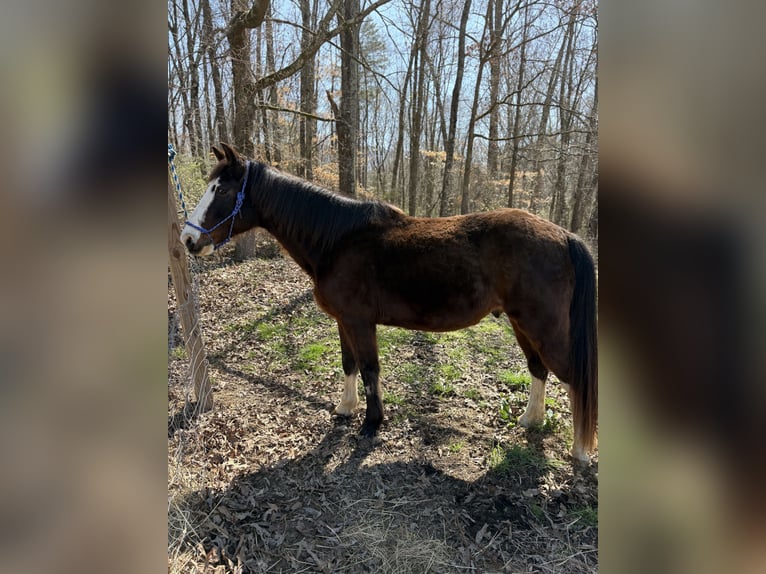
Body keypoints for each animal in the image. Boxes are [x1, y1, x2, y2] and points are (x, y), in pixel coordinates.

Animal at [180, 144, 600, 464]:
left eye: (222, 191)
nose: (188, 240)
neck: (337, 240)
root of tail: (564, 236)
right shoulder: (343, 321)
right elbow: (349, 365)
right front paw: (345, 409)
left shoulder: (360, 322)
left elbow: (369, 369)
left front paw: (371, 423)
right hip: (520, 323)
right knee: (538, 369)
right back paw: (532, 421)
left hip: (542, 326)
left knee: (575, 378)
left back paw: (581, 452)